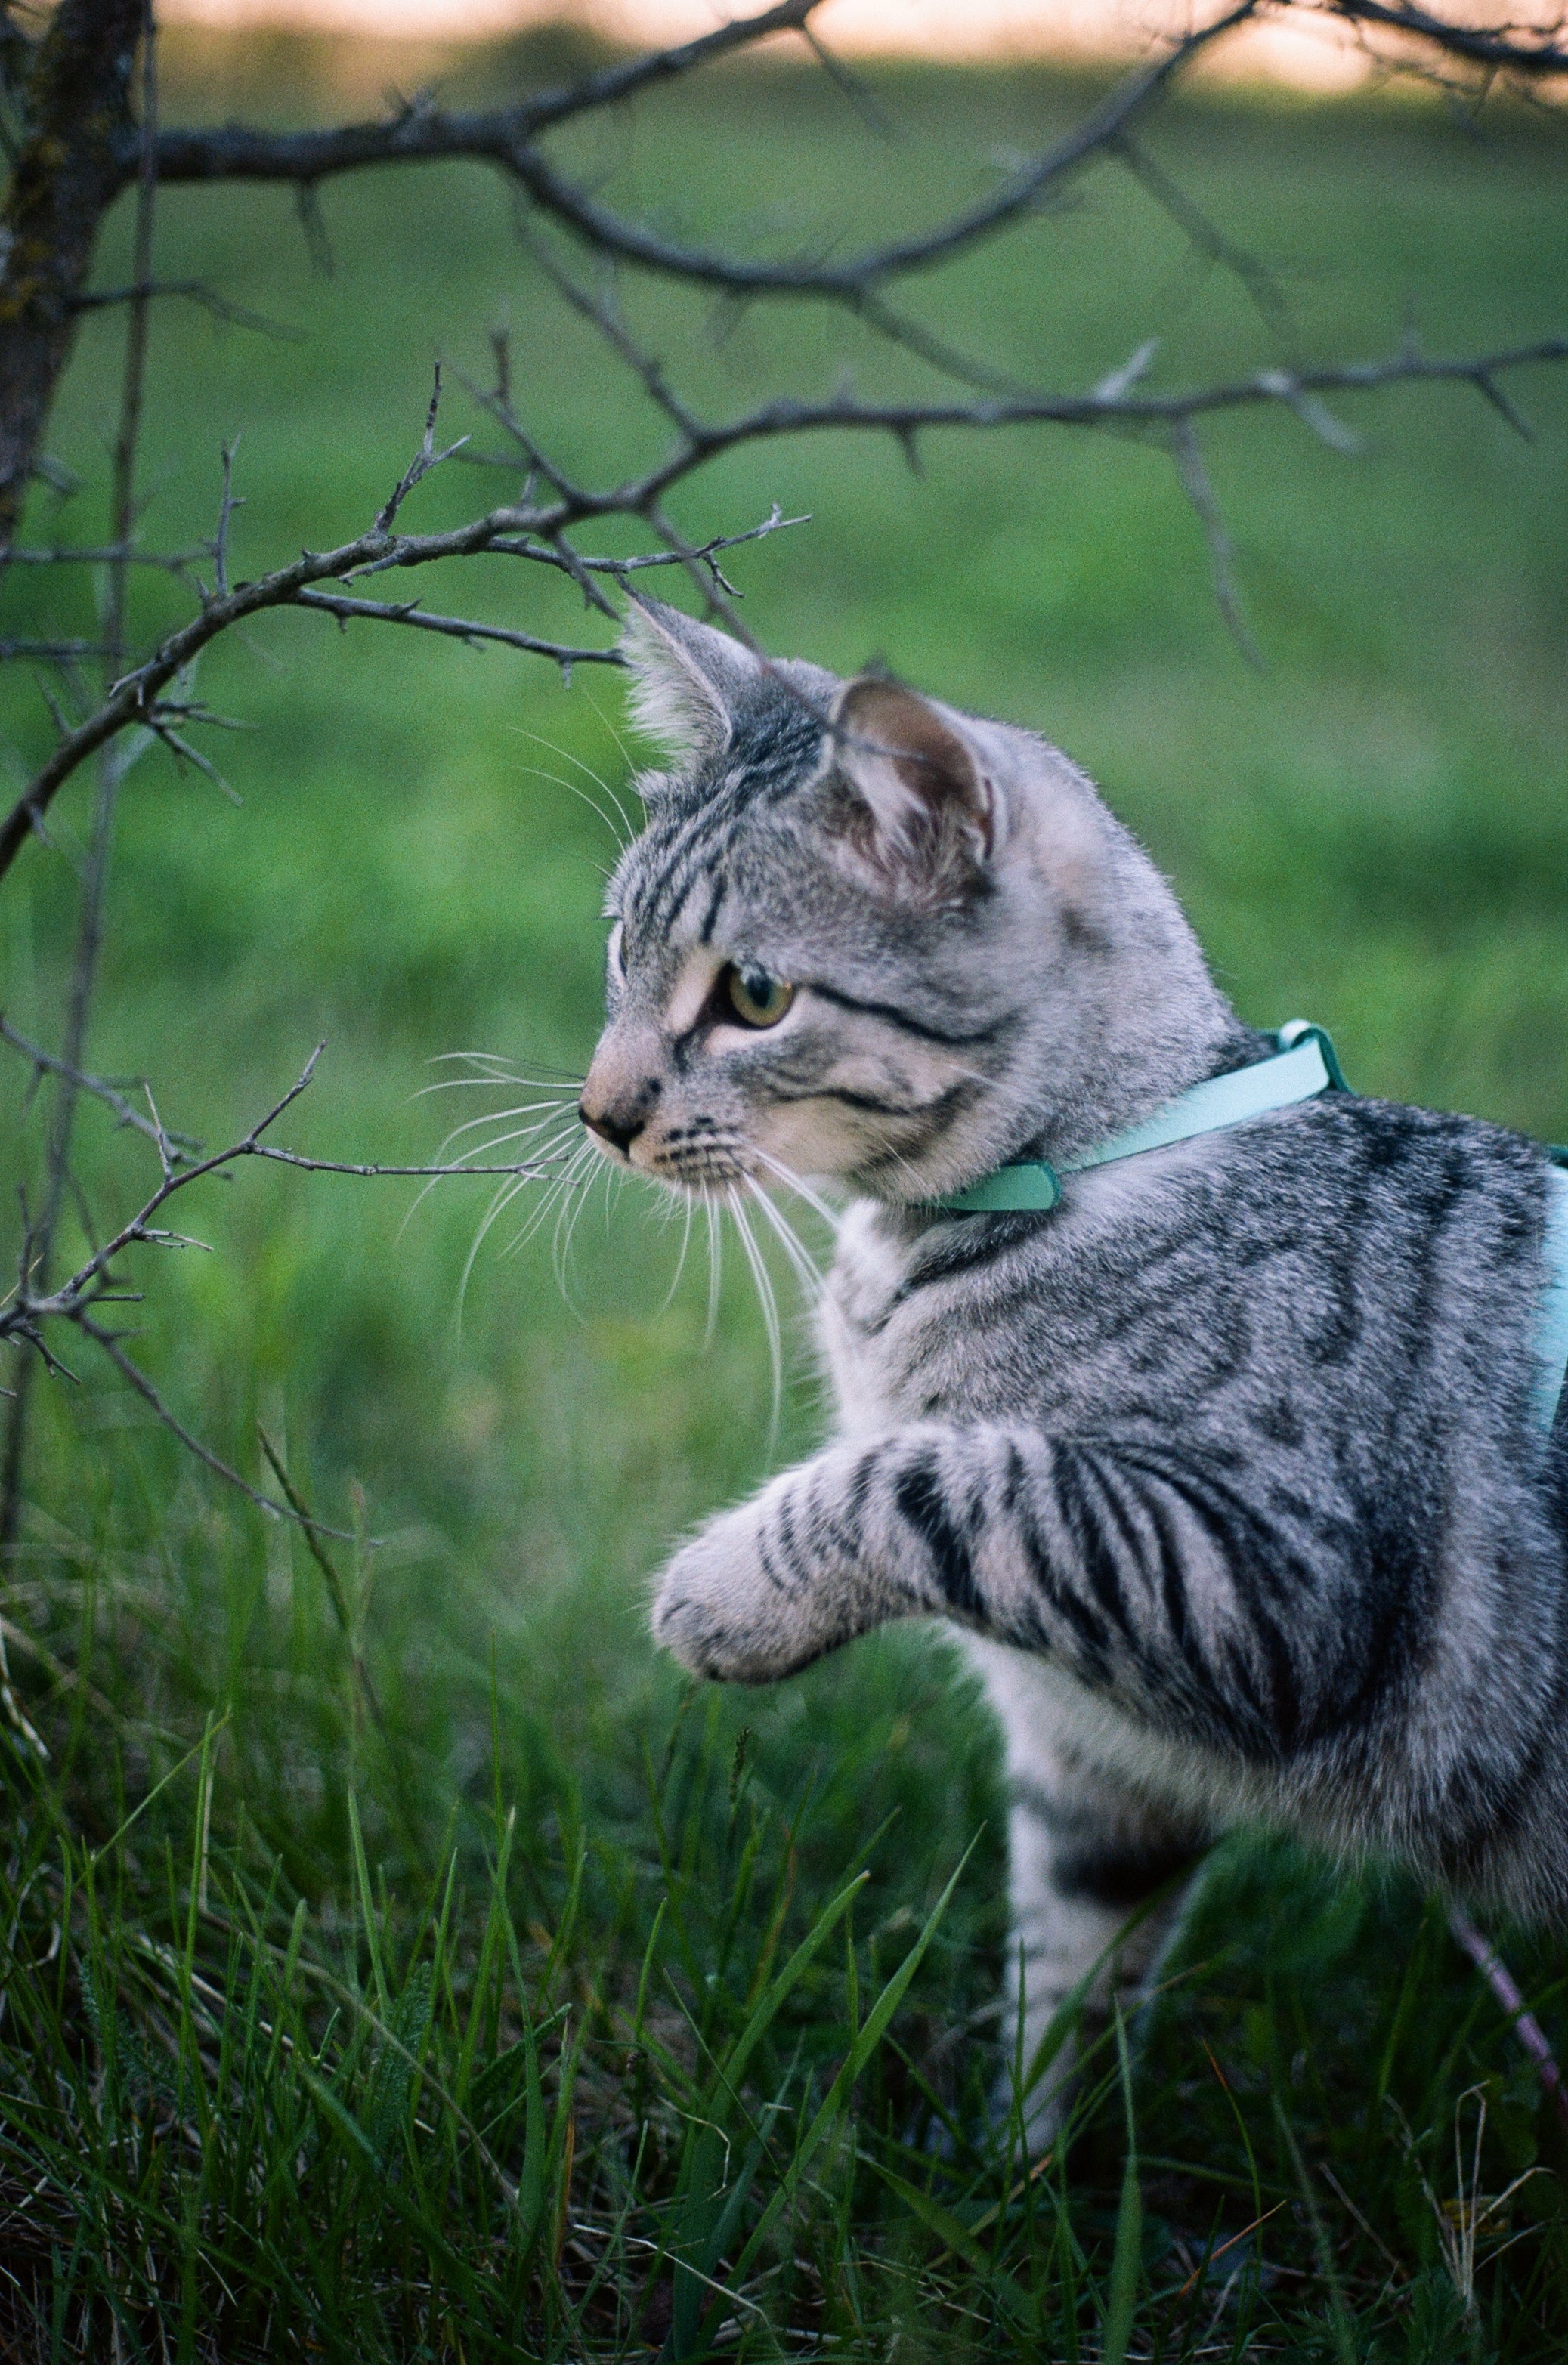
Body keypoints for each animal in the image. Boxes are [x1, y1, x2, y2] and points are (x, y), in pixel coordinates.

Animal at [579, 595, 1568, 2147]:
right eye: (619, 944)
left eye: (754, 995)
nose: (598, 1111)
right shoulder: (1100, 1771)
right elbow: (1065, 1976)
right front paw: (1018, 2174)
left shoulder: (1275, 1573)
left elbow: (936, 1475)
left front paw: (728, 1593)